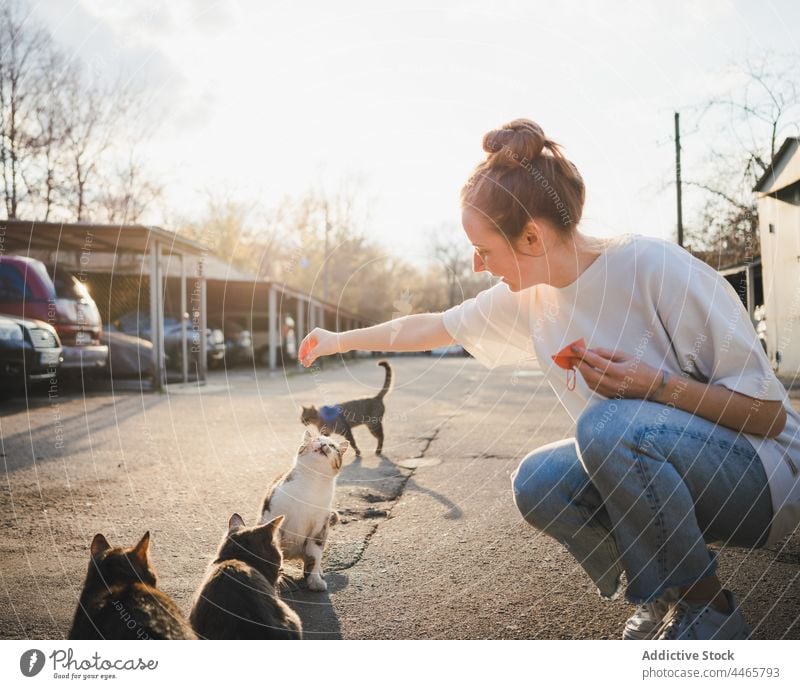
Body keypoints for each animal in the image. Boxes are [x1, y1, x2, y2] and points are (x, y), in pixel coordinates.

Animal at [260, 430, 348, 592]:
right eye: (316, 439)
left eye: (332, 446)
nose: (323, 444)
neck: (312, 483)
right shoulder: (275, 515)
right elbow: (275, 550)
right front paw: (277, 581)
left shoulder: (319, 528)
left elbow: (314, 557)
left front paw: (315, 580)